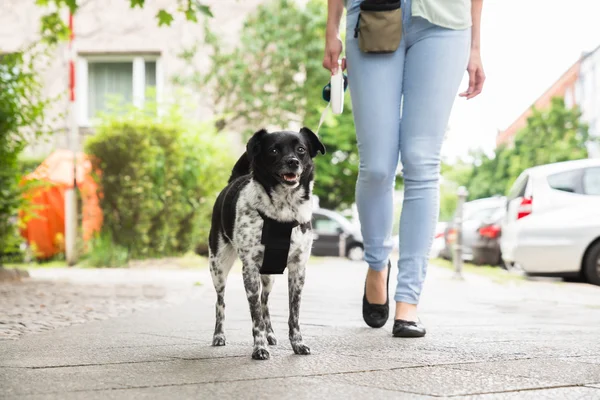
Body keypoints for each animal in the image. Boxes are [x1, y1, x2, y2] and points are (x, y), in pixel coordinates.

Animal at [209, 127, 326, 360]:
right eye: (273, 150)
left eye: (301, 149)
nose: (292, 162)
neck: (283, 210)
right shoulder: (250, 270)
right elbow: (255, 317)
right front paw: (259, 347)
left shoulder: (298, 269)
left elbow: (293, 314)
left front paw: (297, 344)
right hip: (218, 267)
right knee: (221, 301)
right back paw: (219, 335)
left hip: (269, 275)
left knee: (265, 301)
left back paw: (271, 334)